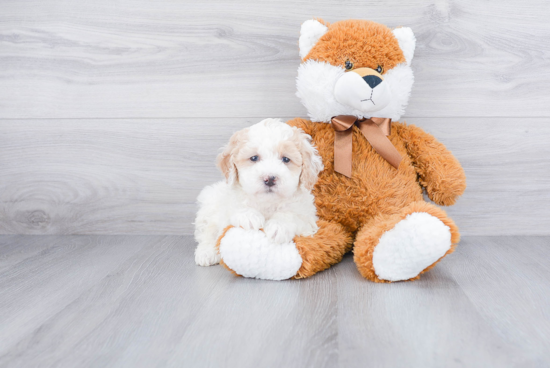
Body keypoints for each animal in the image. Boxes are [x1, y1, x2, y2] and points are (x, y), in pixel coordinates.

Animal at [194, 119, 326, 266]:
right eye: (254, 158)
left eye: (286, 159)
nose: (270, 179)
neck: (267, 203)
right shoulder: (225, 208)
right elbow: (235, 209)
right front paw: (249, 216)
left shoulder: (307, 219)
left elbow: (291, 215)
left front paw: (279, 226)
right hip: (208, 206)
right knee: (207, 232)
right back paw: (206, 252)